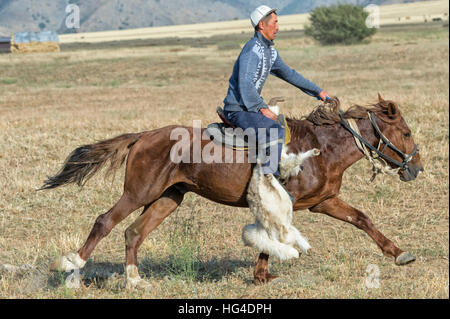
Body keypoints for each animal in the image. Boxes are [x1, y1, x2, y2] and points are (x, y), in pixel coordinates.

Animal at [41, 95, 422, 288]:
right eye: (405, 132)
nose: (416, 168)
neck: (322, 148)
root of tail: (144, 135)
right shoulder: (286, 201)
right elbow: (271, 234)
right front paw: (262, 274)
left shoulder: (324, 201)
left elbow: (362, 219)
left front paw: (400, 254)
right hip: (138, 193)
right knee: (104, 221)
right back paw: (72, 265)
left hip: (167, 198)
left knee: (133, 233)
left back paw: (136, 282)